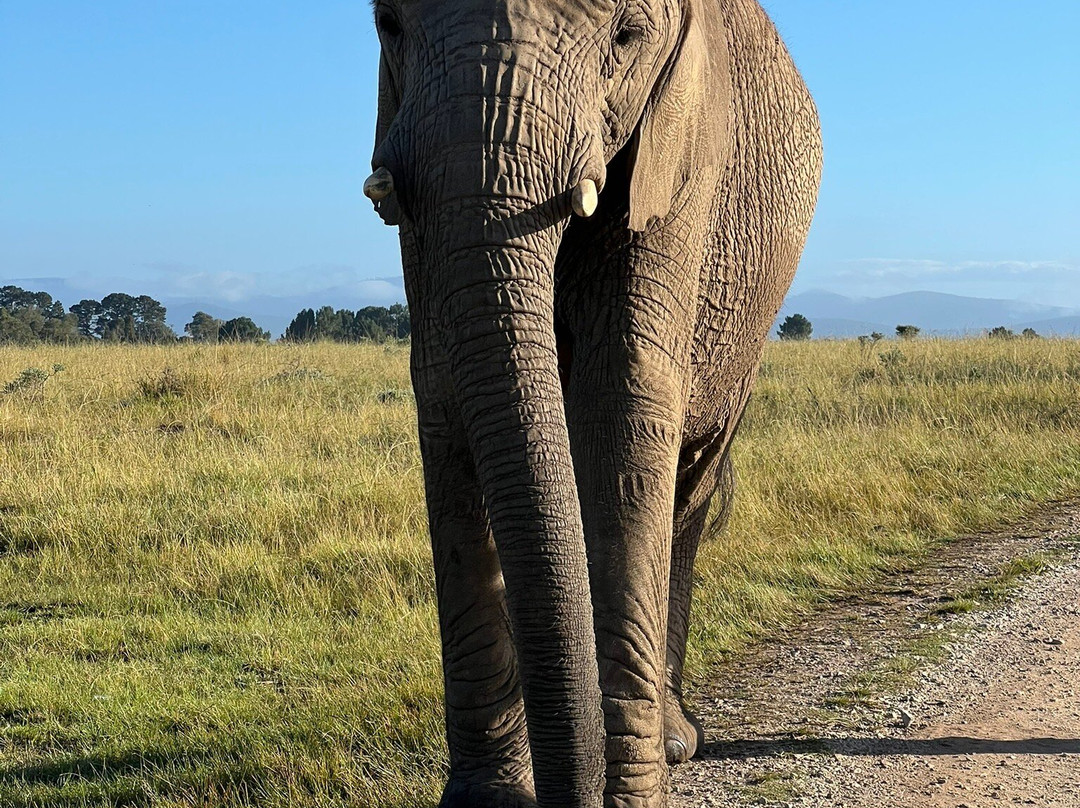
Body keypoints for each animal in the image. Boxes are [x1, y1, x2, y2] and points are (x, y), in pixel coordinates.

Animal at [362, 0, 821, 806]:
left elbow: (624, 394)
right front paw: (487, 802)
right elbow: (447, 385)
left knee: (688, 494)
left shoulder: (683, 153)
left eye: (626, 37)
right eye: (388, 25)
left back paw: (675, 741)